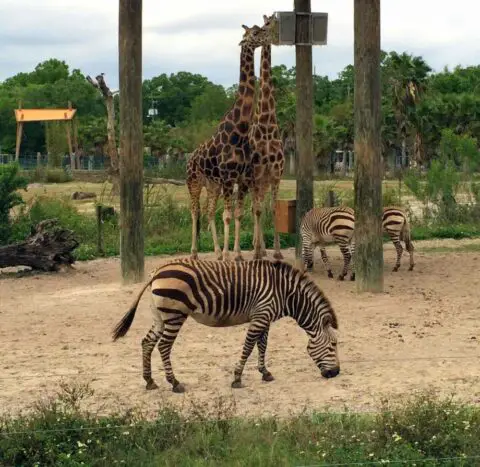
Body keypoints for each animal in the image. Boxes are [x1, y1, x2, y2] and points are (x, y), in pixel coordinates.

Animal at [110, 258, 340, 394]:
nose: (336, 373)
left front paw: (265, 373)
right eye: (333, 346)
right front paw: (237, 378)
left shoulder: (264, 317)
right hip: (175, 315)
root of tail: (157, 272)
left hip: (160, 316)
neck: (285, 293)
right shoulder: (260, 316)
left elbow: (262, 346)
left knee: (147, 342)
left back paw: (149, 381)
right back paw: (175, 383)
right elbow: (248, 347)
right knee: (164, 347)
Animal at [188, 22, 278, 264]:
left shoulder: (242, 179)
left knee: (209, 211)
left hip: (213, 185)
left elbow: (237, 214)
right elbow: (227, 215)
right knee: (195, 211)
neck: (240, 129)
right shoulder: (230, 178)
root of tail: (189, 158)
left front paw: (236, 254)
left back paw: (217, 252)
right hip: (194, 182)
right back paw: (195, 253)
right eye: (255, 32)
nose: (270, 35)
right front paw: (231, 255)